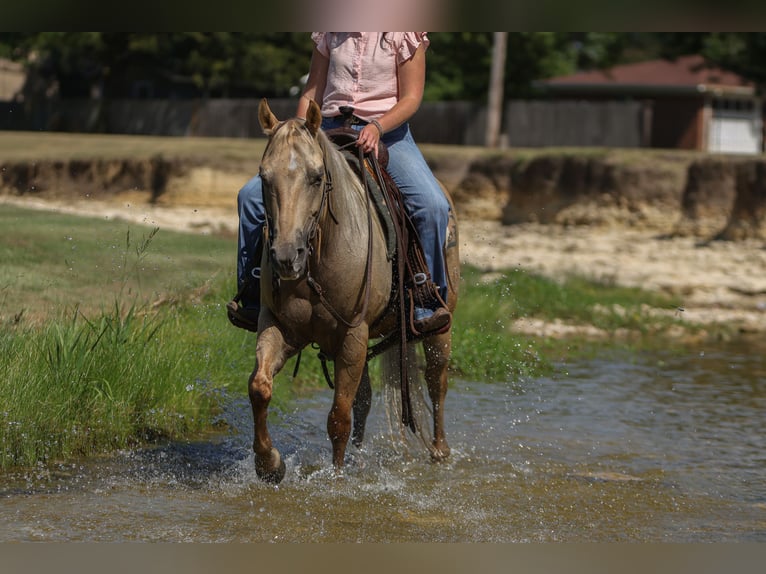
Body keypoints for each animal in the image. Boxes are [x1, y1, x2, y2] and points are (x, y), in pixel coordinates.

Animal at [247, 98, 460, 483]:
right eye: (263, 177)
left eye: (317, 177)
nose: (286, 257)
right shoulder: (277, 325)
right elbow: (260, 387)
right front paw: (269, 465)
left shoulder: (353, 334)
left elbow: (339, 417)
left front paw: (336, 479)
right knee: (365, 397)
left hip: (440, 327)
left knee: (437, 381)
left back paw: (439, 453)